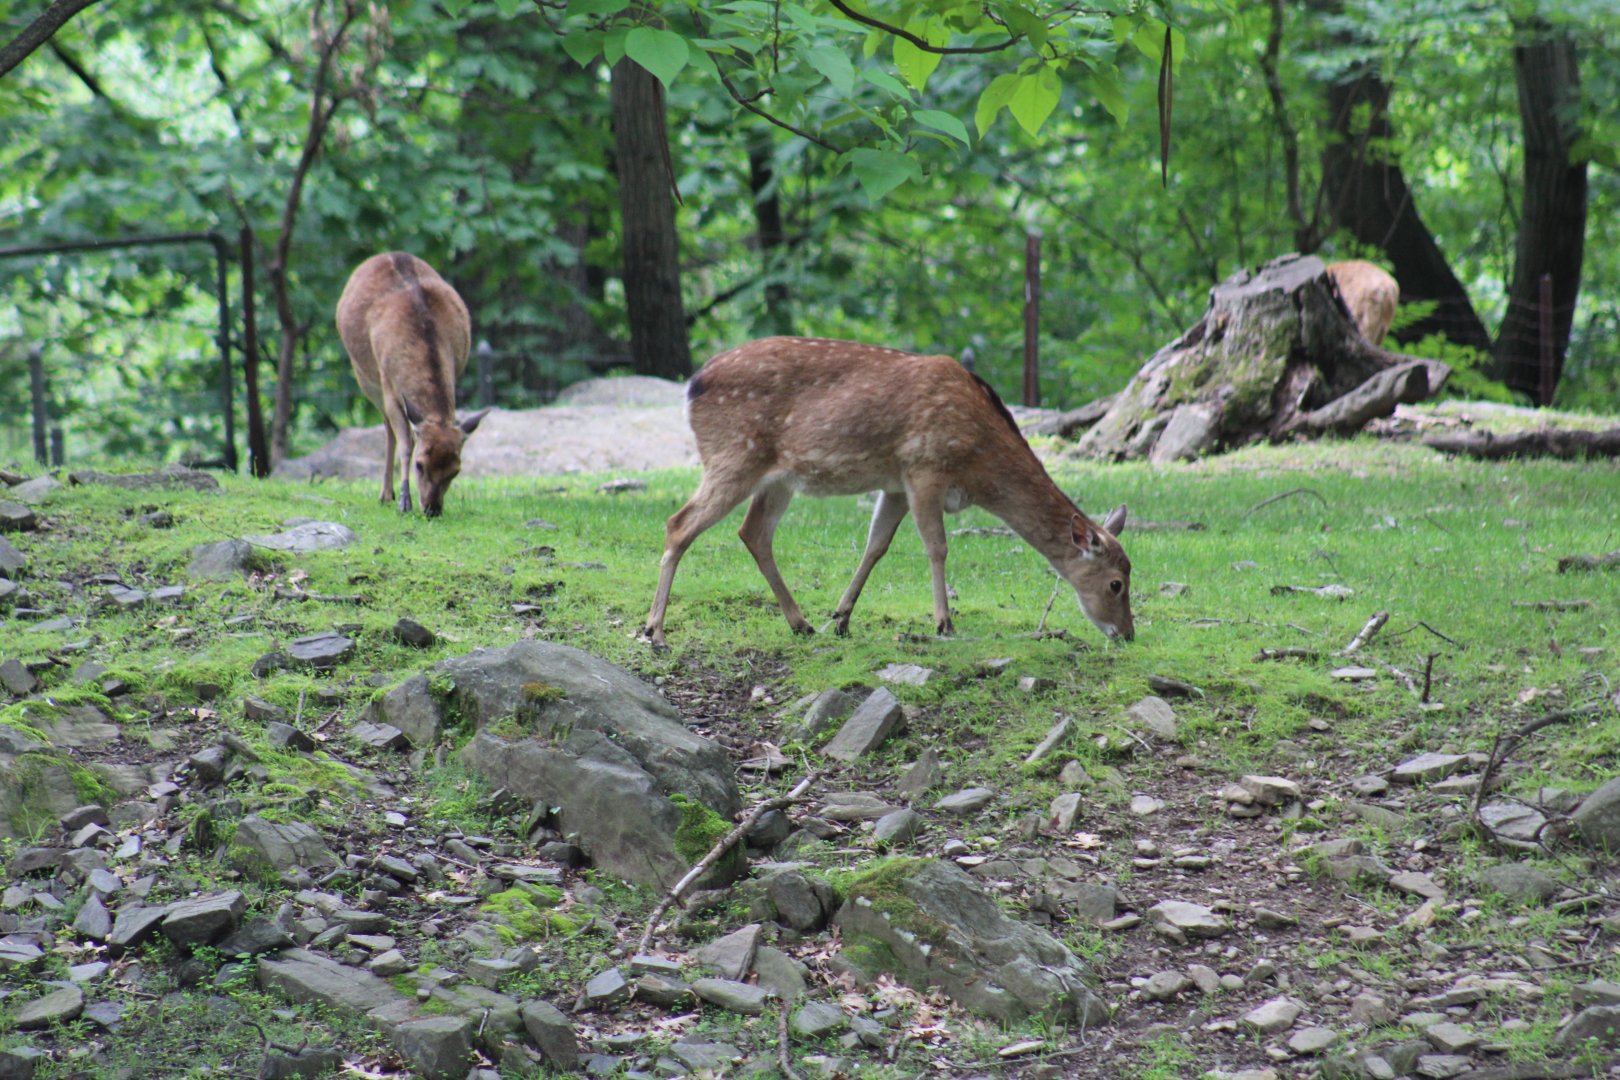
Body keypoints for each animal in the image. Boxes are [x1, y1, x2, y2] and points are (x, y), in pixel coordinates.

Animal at [336, 252, 489, 517]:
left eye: (456, 470)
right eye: (420, 465)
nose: (432, 509)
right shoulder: (388, 386)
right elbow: (406, 444)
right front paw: (404, 501)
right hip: (364, 377)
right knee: (389, 429)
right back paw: (386, 494)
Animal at [643, 337, 1134, 647]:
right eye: (1116, 583)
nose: (1128, 634)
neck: (978, 460)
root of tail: (692, 387)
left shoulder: (894, 484)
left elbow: (875, 545)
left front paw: (841, 618)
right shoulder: (923, 466)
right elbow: (937, 546)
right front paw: (943, 623)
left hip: (779, 477)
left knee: (753, 532)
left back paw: (801, 624)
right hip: (732, 455)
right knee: (679, 524)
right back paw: (655, 632)